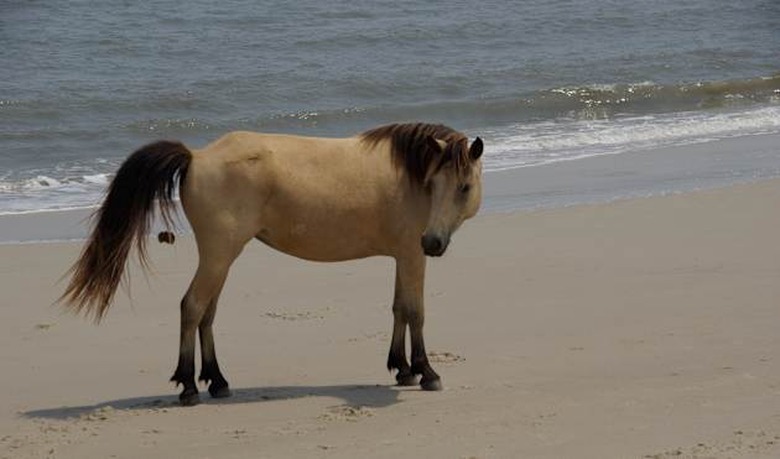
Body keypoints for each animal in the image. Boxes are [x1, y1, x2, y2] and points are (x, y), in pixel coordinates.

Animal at [60, 122, 484, 406]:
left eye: (463, 187)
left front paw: (403, 368)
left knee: (206, 313)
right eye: (434, 183)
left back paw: (217, 381)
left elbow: (398, 309)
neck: (410, 178)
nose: (433, 242)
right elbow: (416, 311)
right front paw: (426, 372)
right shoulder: (412, 256)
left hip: (221, 259)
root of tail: (197, 156)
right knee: (192, 307)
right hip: (219, 256)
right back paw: (190, 386)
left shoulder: (403, 256)